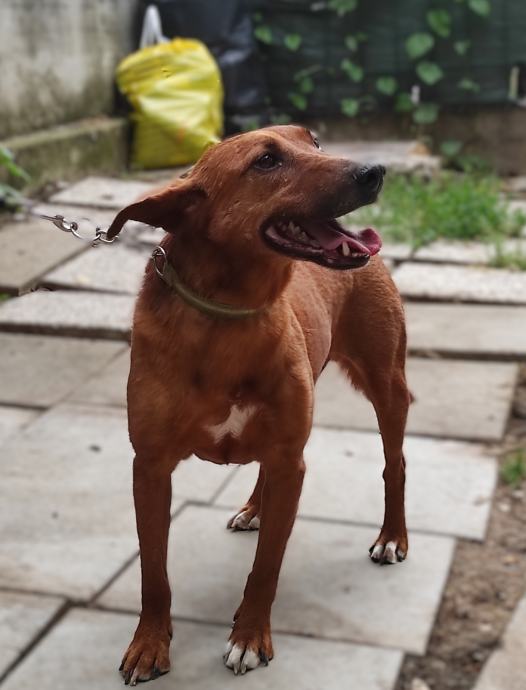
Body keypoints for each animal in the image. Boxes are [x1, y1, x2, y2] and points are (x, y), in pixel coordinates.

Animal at [106, 125, 410, 684]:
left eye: (315, 143)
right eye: (266, 161)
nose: (375, 170)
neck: (231, 314)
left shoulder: (293, 461)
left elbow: (266, 566)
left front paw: (249, 637)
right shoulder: (150, 468)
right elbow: (153, 572)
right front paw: (148, 644)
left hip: (387, 384)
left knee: (394, 463)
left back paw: (391, 536)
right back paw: (254, 507)